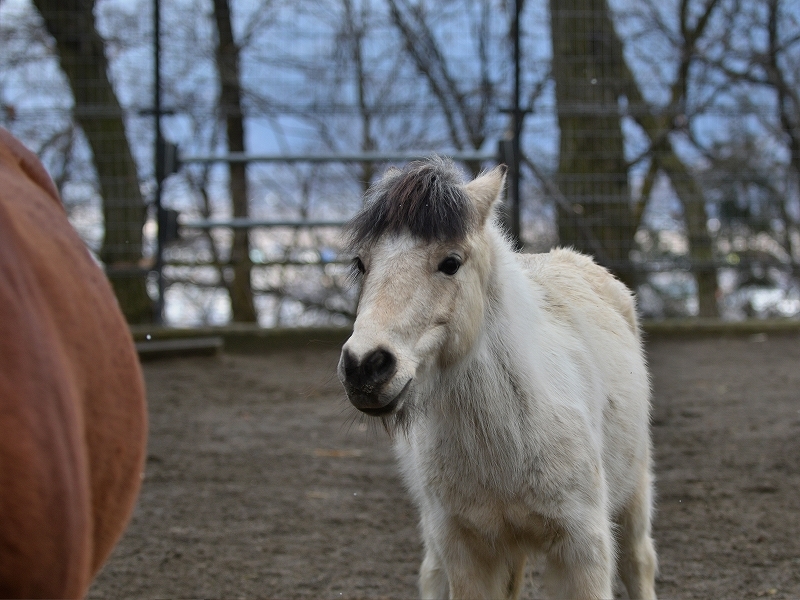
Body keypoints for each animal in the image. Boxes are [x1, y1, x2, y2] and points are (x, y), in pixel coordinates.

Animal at [338, 157, 656, 596]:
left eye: (451, 262)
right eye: (361, 263)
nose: (364, 366)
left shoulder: (583, 547)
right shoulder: (466, 551)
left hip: (634, 491)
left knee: (638, 563)